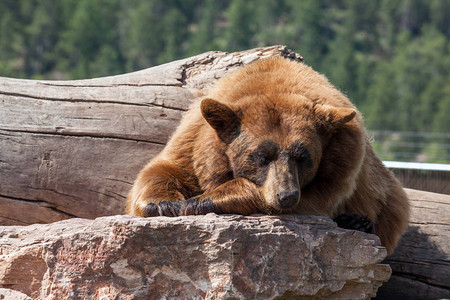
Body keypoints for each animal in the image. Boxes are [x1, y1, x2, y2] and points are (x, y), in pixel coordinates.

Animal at [125, 56, 410, 253]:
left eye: (303, 158)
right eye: (261, 156)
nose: (286, 195)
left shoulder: (341, 165)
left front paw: (201, 200)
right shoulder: (194, 140)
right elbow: (163, 169)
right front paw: (166, 203)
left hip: (385, 196)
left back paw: (357, 222)